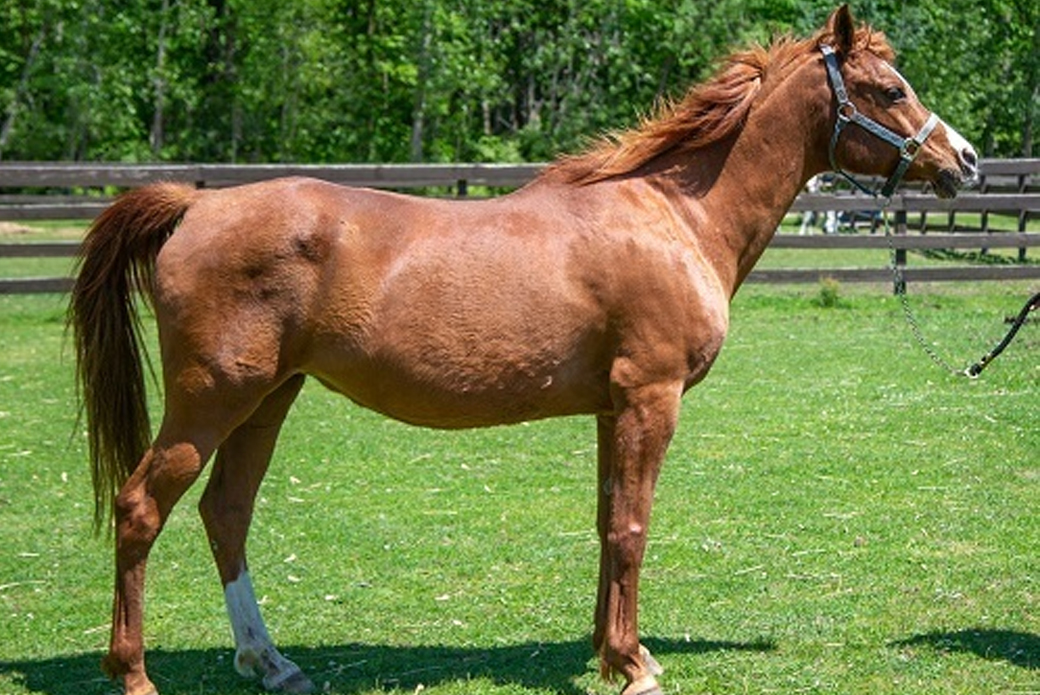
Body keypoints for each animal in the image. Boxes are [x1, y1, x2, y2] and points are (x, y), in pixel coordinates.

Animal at [69, 5, 977, 695]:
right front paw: (636, 664)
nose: (963, 160)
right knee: (143, 507)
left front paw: (609, 650)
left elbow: (609, 520)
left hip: (269, 397)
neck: (672, 214)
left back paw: (271, 662)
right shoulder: (650, 397)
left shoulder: (615, 406)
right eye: (889, 89)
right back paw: (136, 673)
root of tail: (195, 205)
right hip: (213, 399)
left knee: (226, 512)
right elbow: (635, 524)